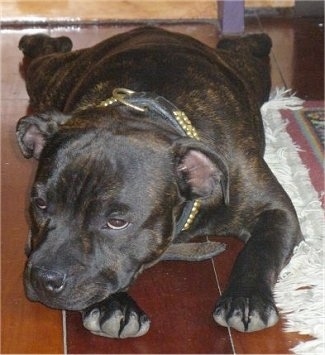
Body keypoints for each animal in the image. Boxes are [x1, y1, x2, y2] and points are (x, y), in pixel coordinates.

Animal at [17, 26, 302, 338]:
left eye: (117, 222)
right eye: (40, 203)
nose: (44, 278)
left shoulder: (276, 210)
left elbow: (259, 251)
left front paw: (246, 298)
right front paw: (115, 306)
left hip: (253, 75)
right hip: (51, 77)